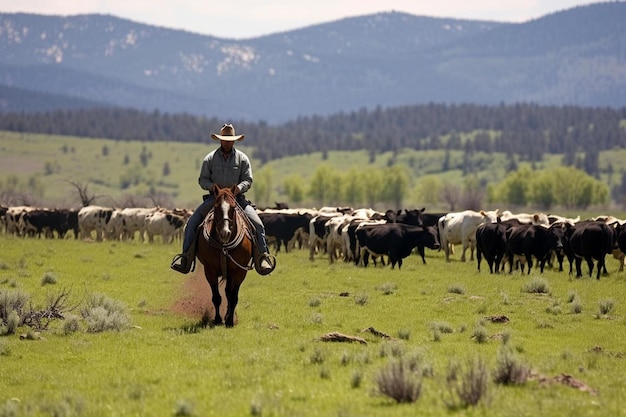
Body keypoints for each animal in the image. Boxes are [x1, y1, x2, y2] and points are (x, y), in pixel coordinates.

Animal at [196, 184, 252, 324]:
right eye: (216, 207)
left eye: (233, 207)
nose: (224, 233)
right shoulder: (210, 271)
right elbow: (216, 297)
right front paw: (217, 319)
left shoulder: (240, 272)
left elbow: (233, 297)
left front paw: (230, 321)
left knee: (228, 293)